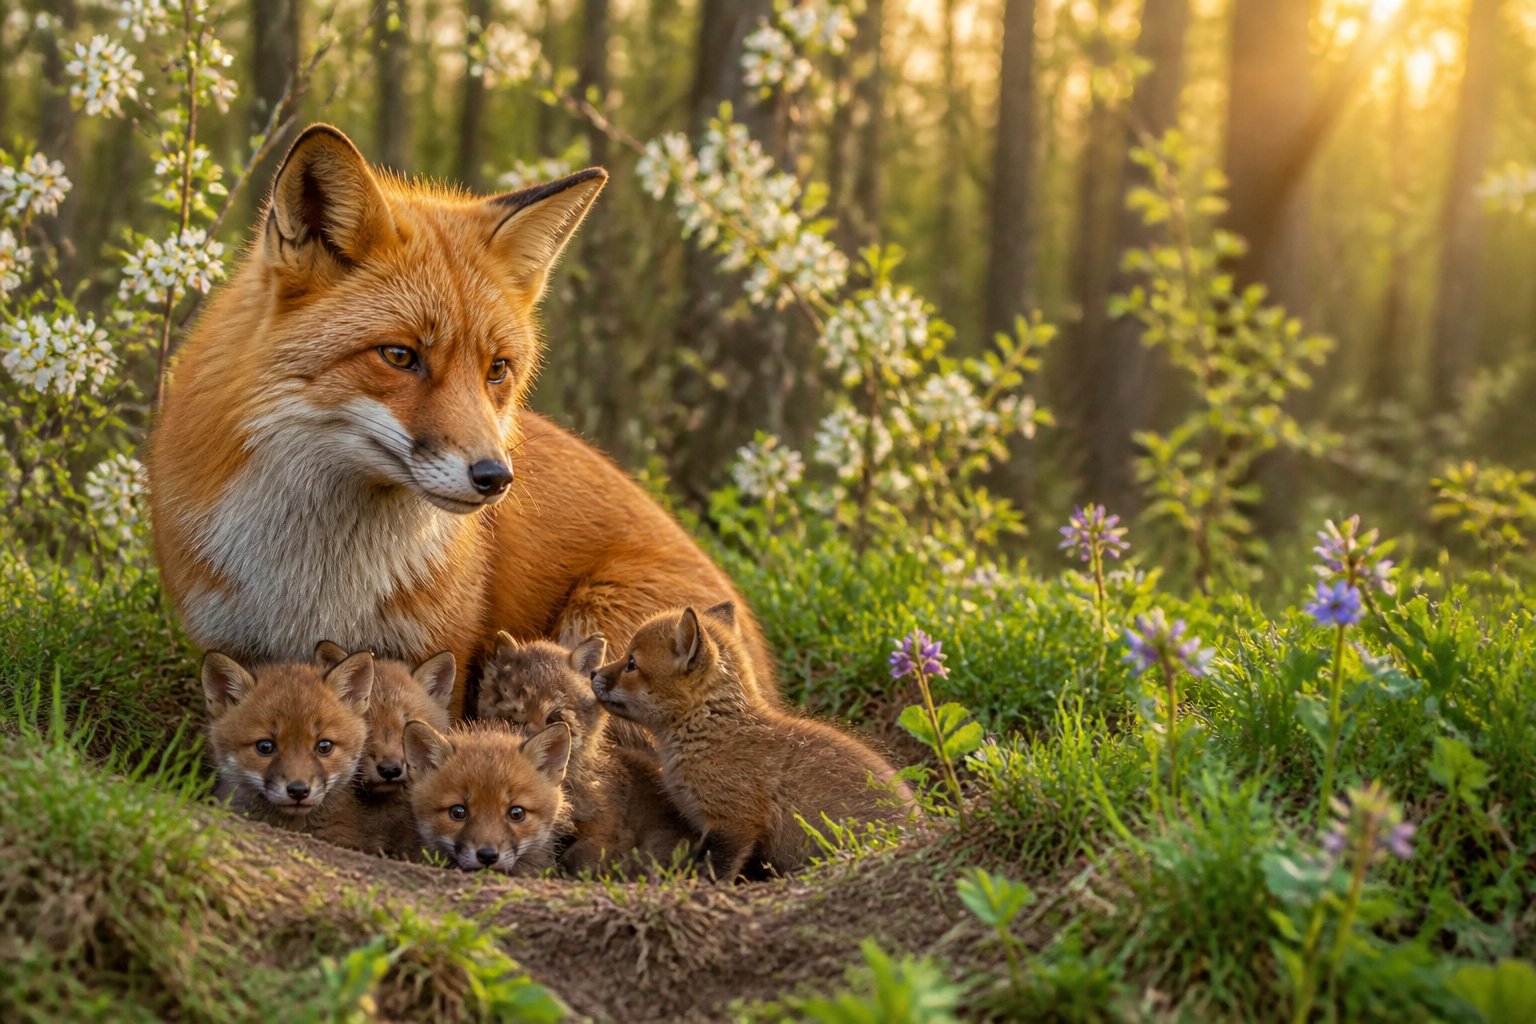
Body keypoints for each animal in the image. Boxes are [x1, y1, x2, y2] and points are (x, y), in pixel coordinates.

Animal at [148, 123, 776, 718]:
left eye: (496, 369)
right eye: (400, 356)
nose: (496, 478)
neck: (316, 580)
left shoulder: (437, 655)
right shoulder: (234, 646)